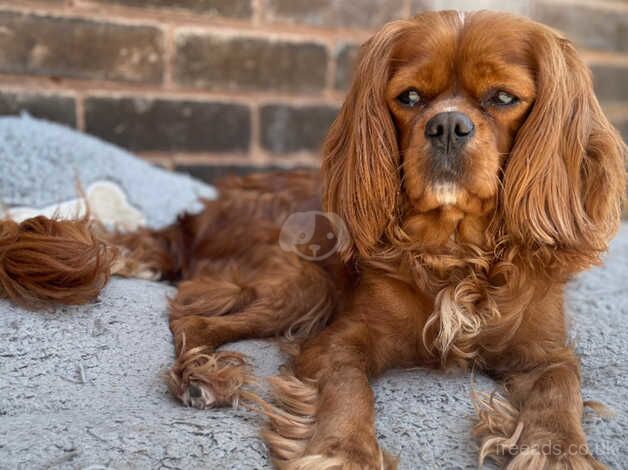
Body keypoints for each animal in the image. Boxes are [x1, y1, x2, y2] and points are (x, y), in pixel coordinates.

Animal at [0, 9, 624, 468]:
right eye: (410, 98)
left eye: (502, 98)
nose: (447, 125)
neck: (454, 249)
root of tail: (200, 213)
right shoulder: (339, 340)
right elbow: (348, 390)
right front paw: (343, 451)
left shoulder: (545, 351)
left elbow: (561, 389)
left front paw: (556, 451)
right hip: (305, 281)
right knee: (189, 317)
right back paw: (201, 376)